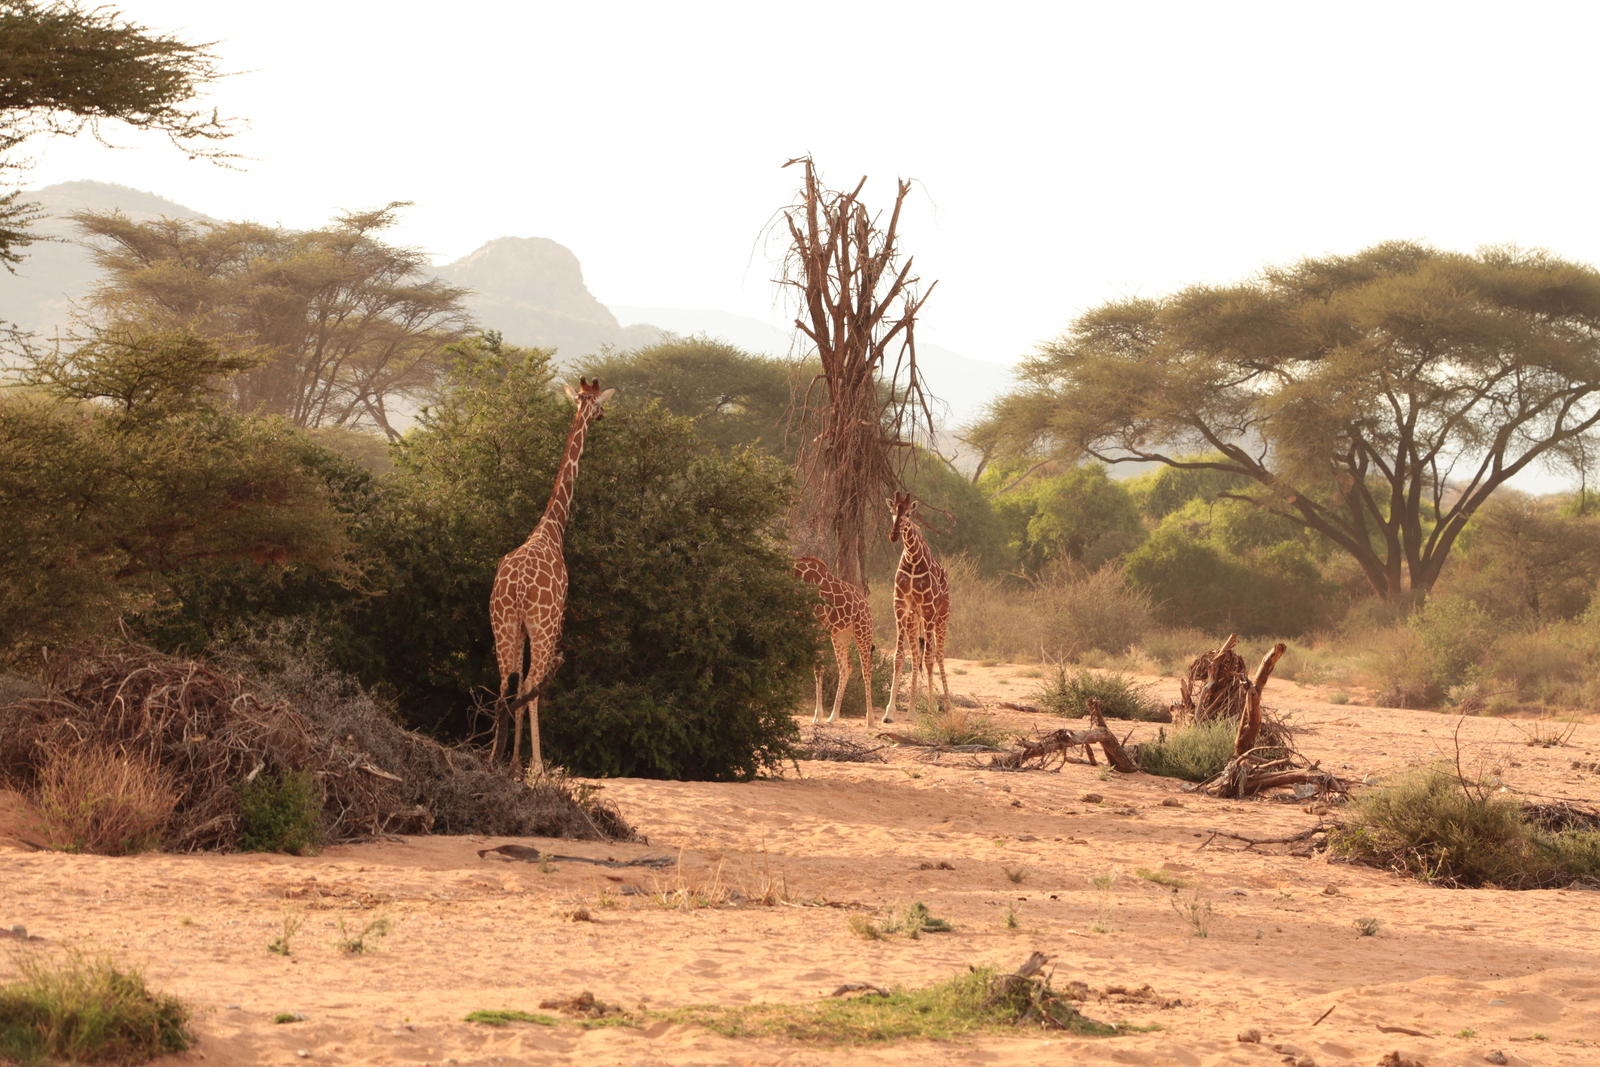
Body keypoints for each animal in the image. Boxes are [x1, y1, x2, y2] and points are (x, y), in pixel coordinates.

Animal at [486, 377, 611, 777]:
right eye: (598, 403)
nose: (601, 415)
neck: (551, 528)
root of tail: (519, 589)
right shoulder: (555, 622)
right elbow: (536, 686)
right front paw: (531, 765)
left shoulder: (521, 628)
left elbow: (516, 686)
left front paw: (513, 761)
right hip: (540, 626)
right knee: (529, 683)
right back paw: (537, 765)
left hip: (503, 623)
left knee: (505, 684)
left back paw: (493, 758)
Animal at [796, 559, 883, 726]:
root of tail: (866, 601)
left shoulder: (818, 626)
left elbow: (818, 669)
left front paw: (817, 715)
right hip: (841, 635)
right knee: (846, 667)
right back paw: (833, 716)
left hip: (863, 629)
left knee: (866, 668)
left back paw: (870, 719)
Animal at [876, 492, 947, 726]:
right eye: (892, 511)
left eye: (908, 513)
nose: (893, 535)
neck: (913, 559)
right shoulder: (901, 606)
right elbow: (899, 657)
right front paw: (889, 713)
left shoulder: (928, 609)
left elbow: (929, 659)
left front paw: (932, 710)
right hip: (914, 619)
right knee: (916, 656)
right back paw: (911, 711)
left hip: (941, 616)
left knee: (938, 654)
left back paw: (946, 707)